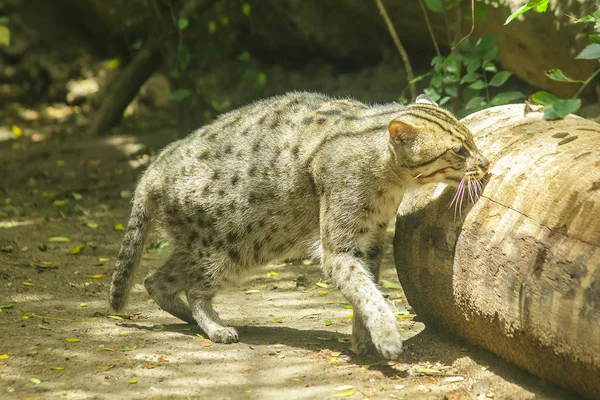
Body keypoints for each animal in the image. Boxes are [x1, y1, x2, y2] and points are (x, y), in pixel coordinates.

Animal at [110, 93, 490, 360]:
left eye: (472, 139)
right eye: (459, 150)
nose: (486, 163)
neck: (391, 179)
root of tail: (152, 169)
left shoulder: (370, 242)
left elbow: (365, 289)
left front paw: (362, 338)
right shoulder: (339, 248)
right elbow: (365, 291)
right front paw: (385, 335)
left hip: (221, 244)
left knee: (155, 279)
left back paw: (187, 317)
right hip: (229, 247)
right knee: (193, 288)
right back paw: (215, 326)